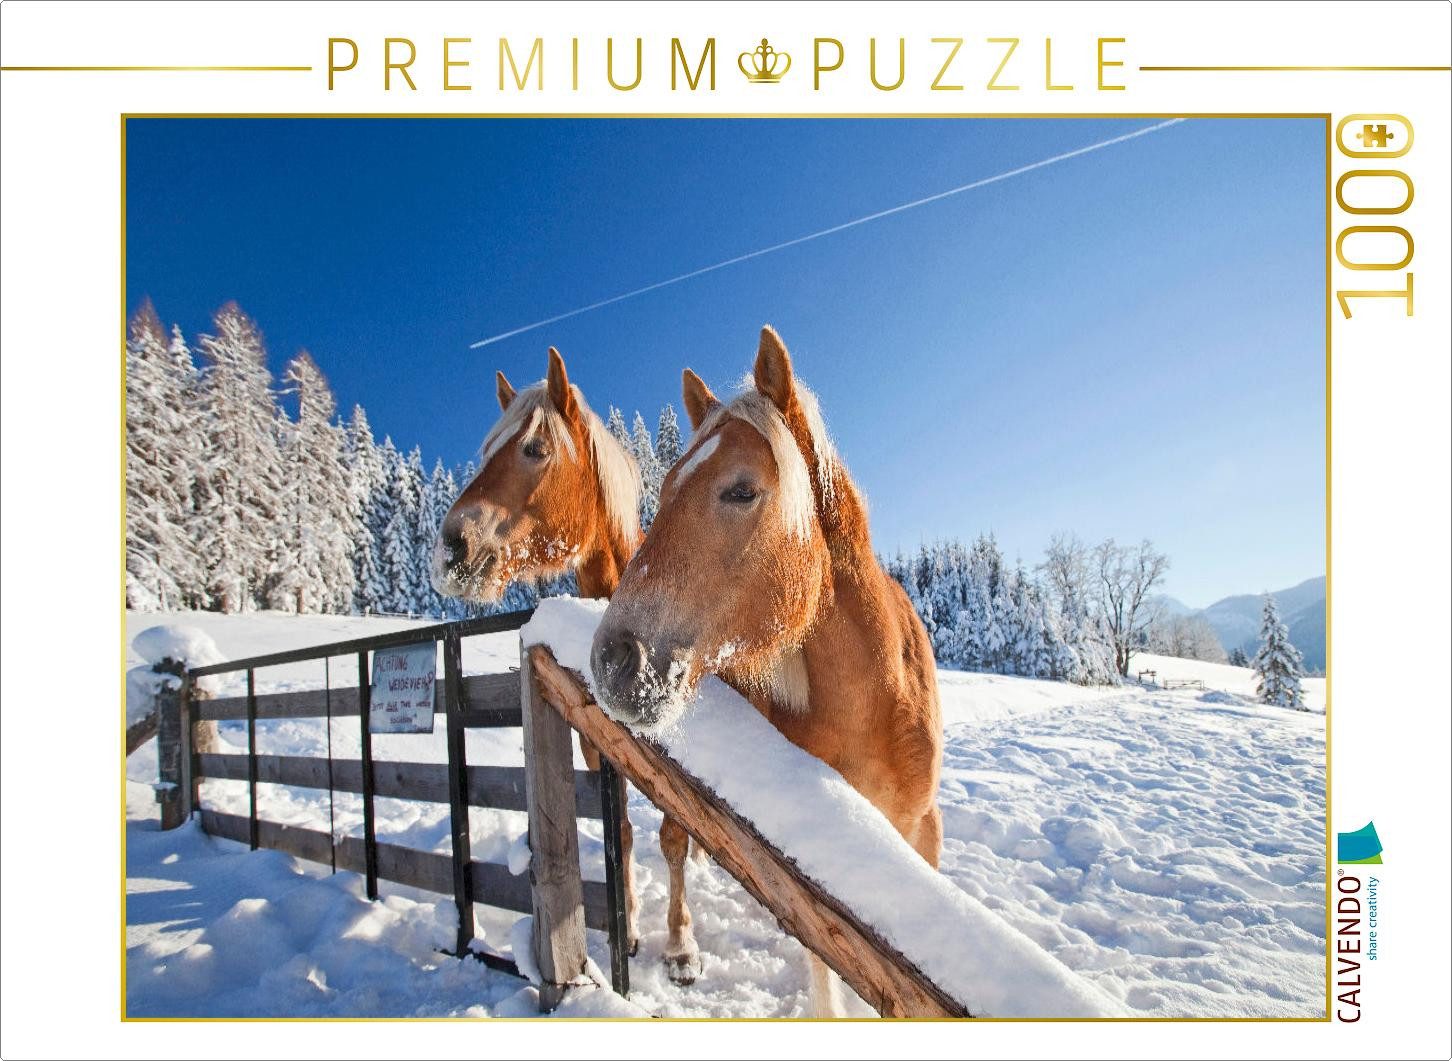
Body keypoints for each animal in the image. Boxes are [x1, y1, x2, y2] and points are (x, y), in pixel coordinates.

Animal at [431, 346, 703, 982]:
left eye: (534, 448)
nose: (452, 548)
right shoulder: (598, 747)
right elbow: (620, 833)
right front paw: (630, 924)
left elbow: (674, 839)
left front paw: (680, 945)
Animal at [589, 326, 944, 1017]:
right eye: (664, 492)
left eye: (741, 490)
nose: (614, 658)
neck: (877, 709)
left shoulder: (923, 836)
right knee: (665, 842)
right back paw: (678, 947)